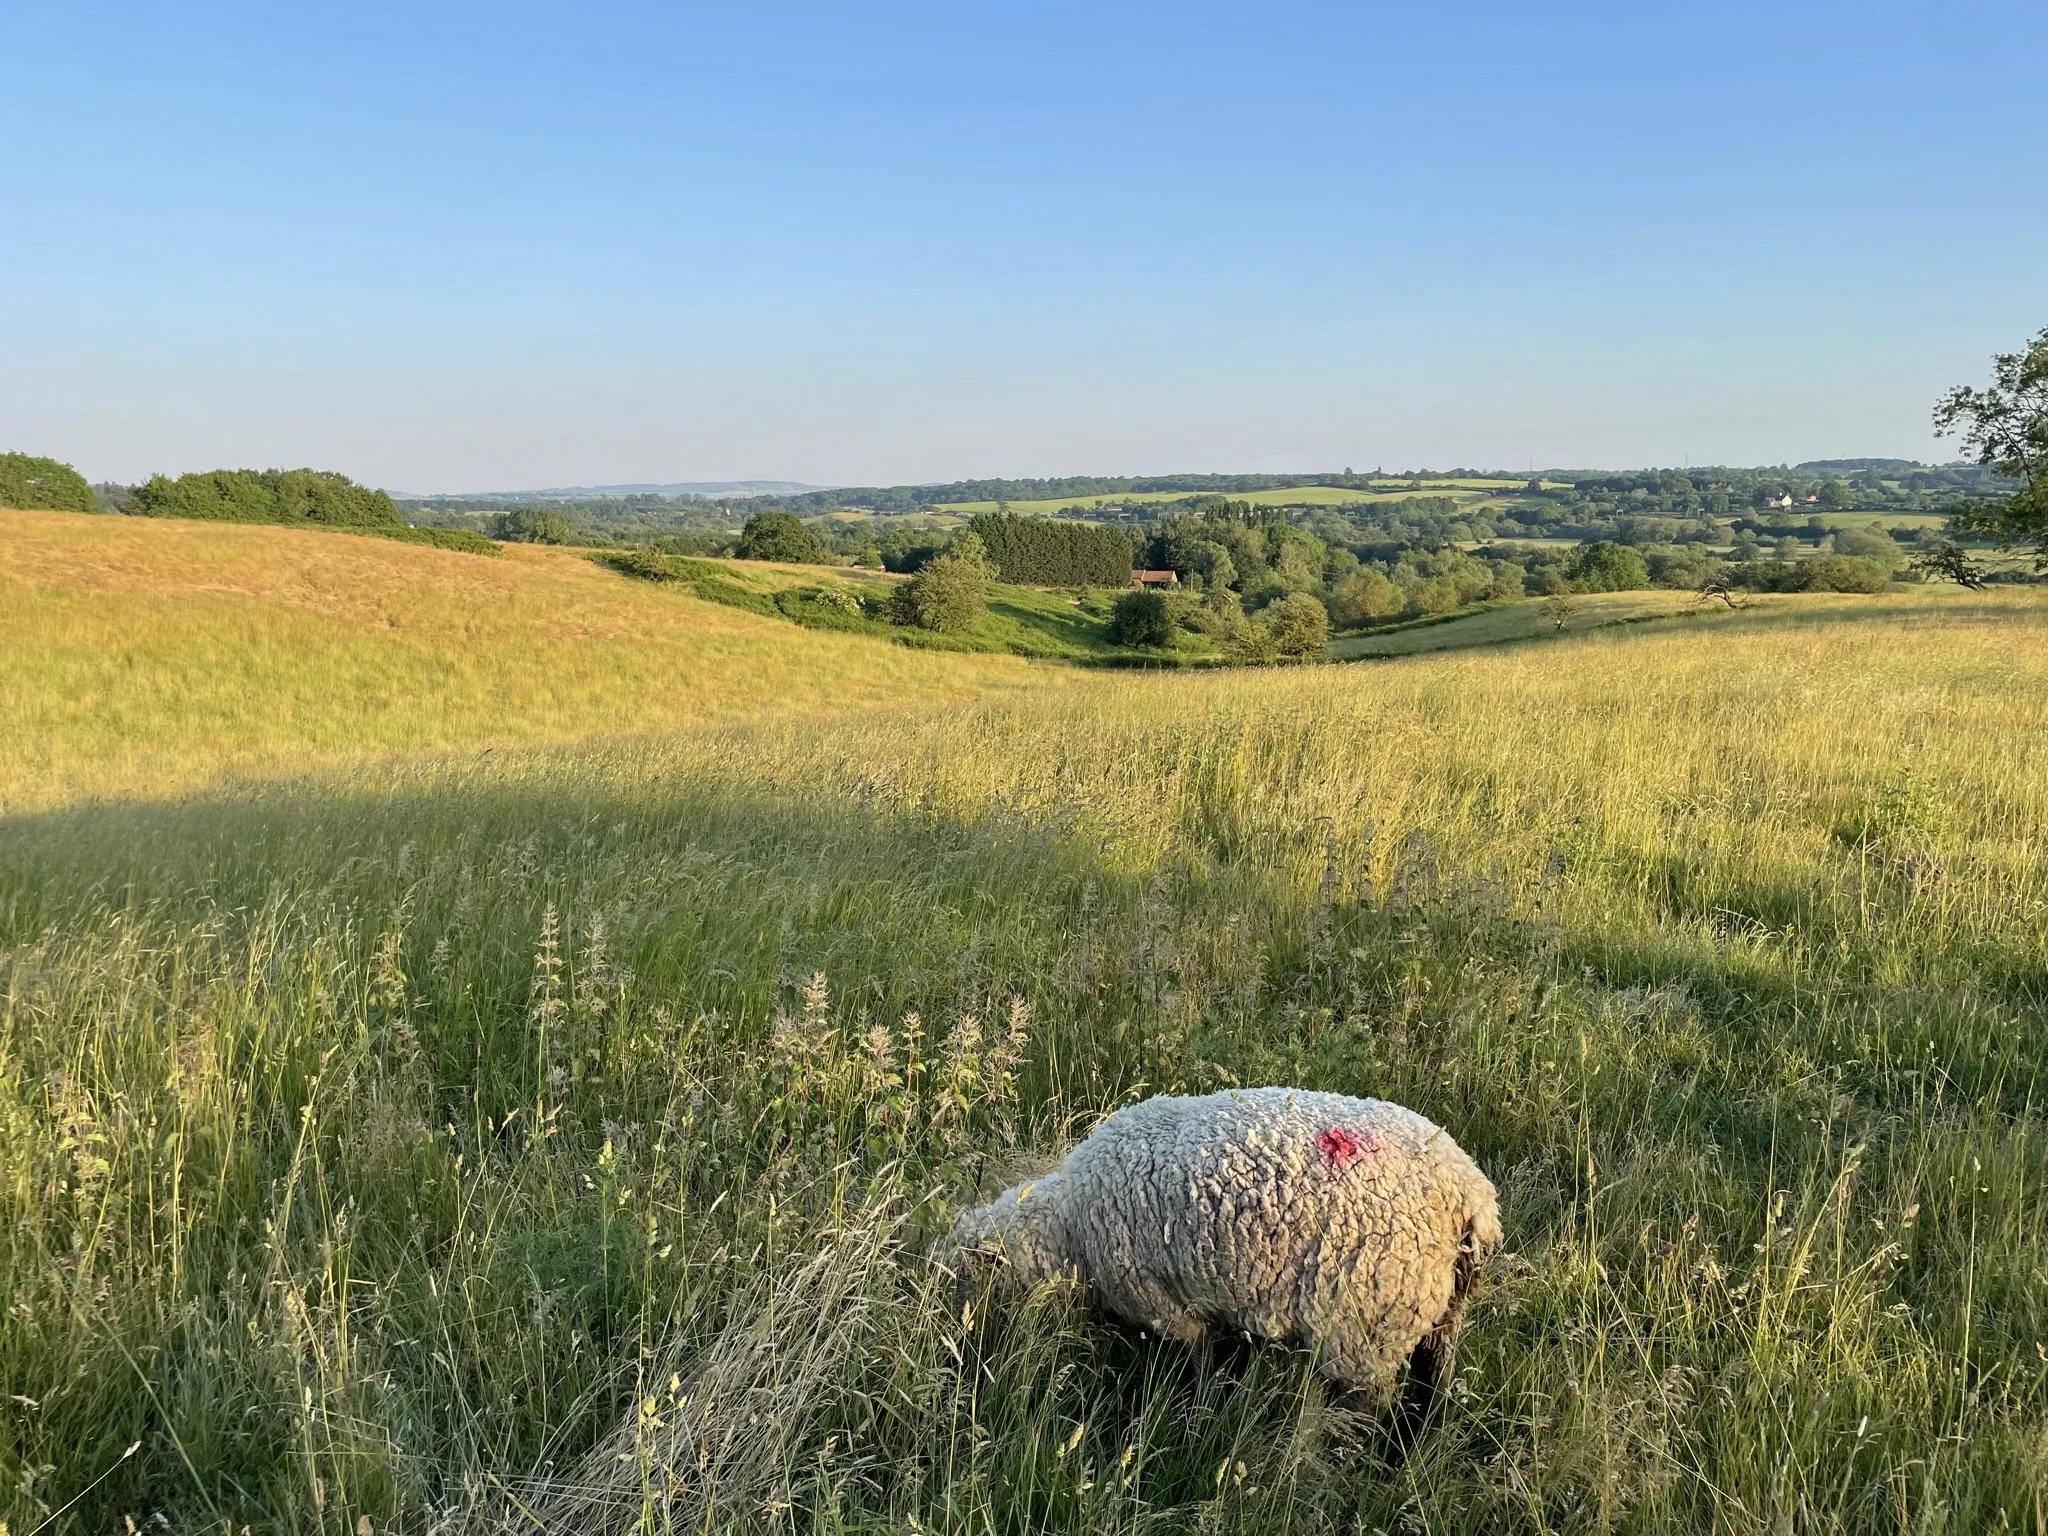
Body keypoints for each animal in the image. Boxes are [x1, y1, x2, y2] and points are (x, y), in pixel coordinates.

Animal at [949, 1087, 1500, 1418]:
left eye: (966, 1281)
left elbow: (1200, 1359)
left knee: (1374, 1408)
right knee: (1434, 1388)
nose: (963, 1345)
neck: (1069, 1225)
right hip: (1438, 1316)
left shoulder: (1163, 1303)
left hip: (1370, 1325)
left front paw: (1202, 1410)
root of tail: (1471, 1196)